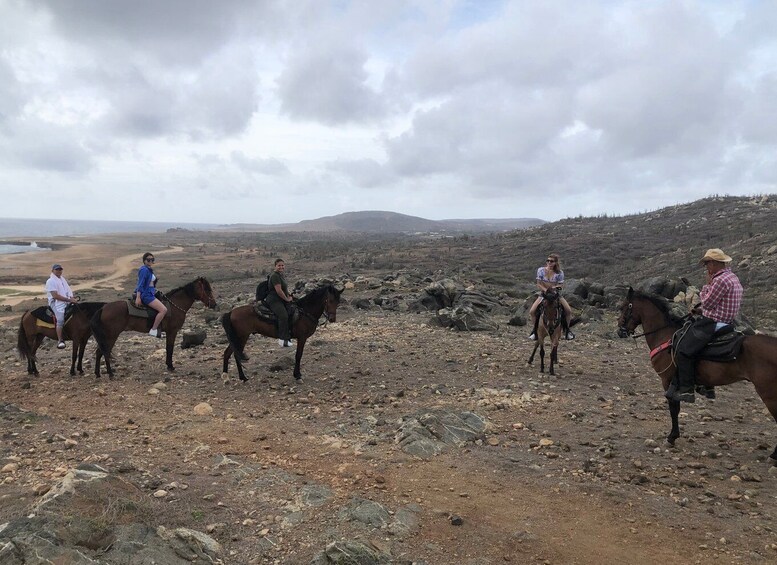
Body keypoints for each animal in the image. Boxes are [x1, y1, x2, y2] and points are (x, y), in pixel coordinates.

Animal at [620, 286, 776, 462]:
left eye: (623, 307)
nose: (620, 331)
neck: (665, 336)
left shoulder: (667, 381)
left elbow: (674, 408)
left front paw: (672, 437)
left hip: (768, 393)